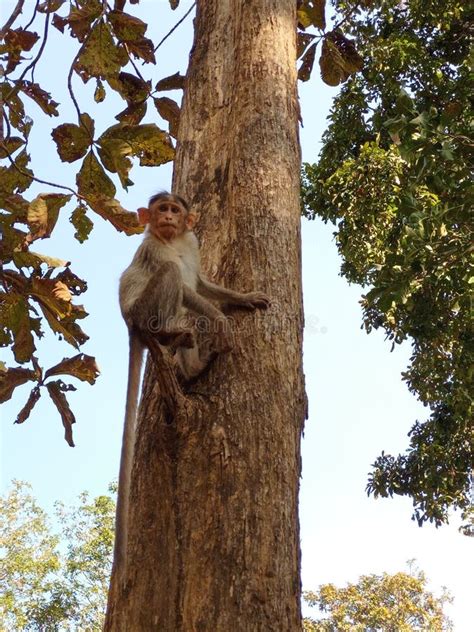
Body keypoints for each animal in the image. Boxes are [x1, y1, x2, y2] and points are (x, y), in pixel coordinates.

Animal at [113, 191, 270, 584]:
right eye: (161, 210)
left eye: (174, 210)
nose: (167, 218)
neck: (171, 240)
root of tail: (131, 327)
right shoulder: (153, 249)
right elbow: (185, 287)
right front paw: (220, 319)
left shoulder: (193, 242)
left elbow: (198, 285)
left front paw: (242, 298)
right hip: (143, 313)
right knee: (171, 283)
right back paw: (168, 335)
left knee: (188, 315)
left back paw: (193, 362)